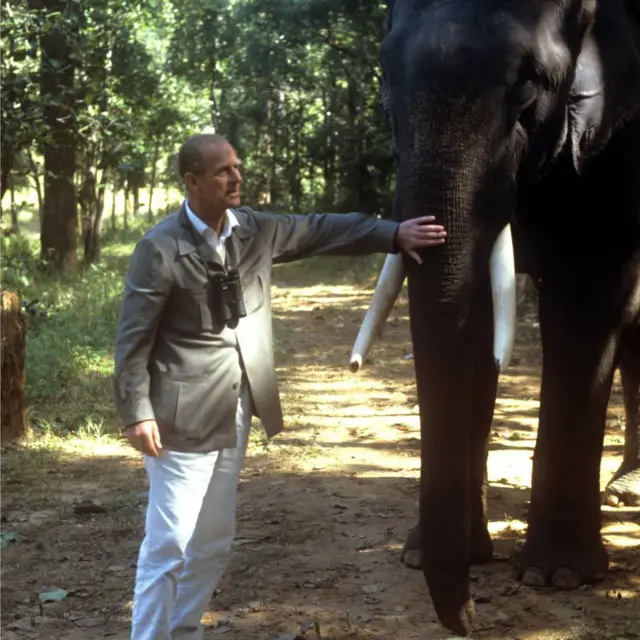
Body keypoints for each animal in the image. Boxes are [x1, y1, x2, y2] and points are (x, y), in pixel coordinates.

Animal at [357, 0, 640, 635]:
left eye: (527, 83)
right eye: (385, 81)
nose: (467, 622)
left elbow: (584, 300)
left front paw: (557, 575)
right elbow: (475, 314)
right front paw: (436, 556)